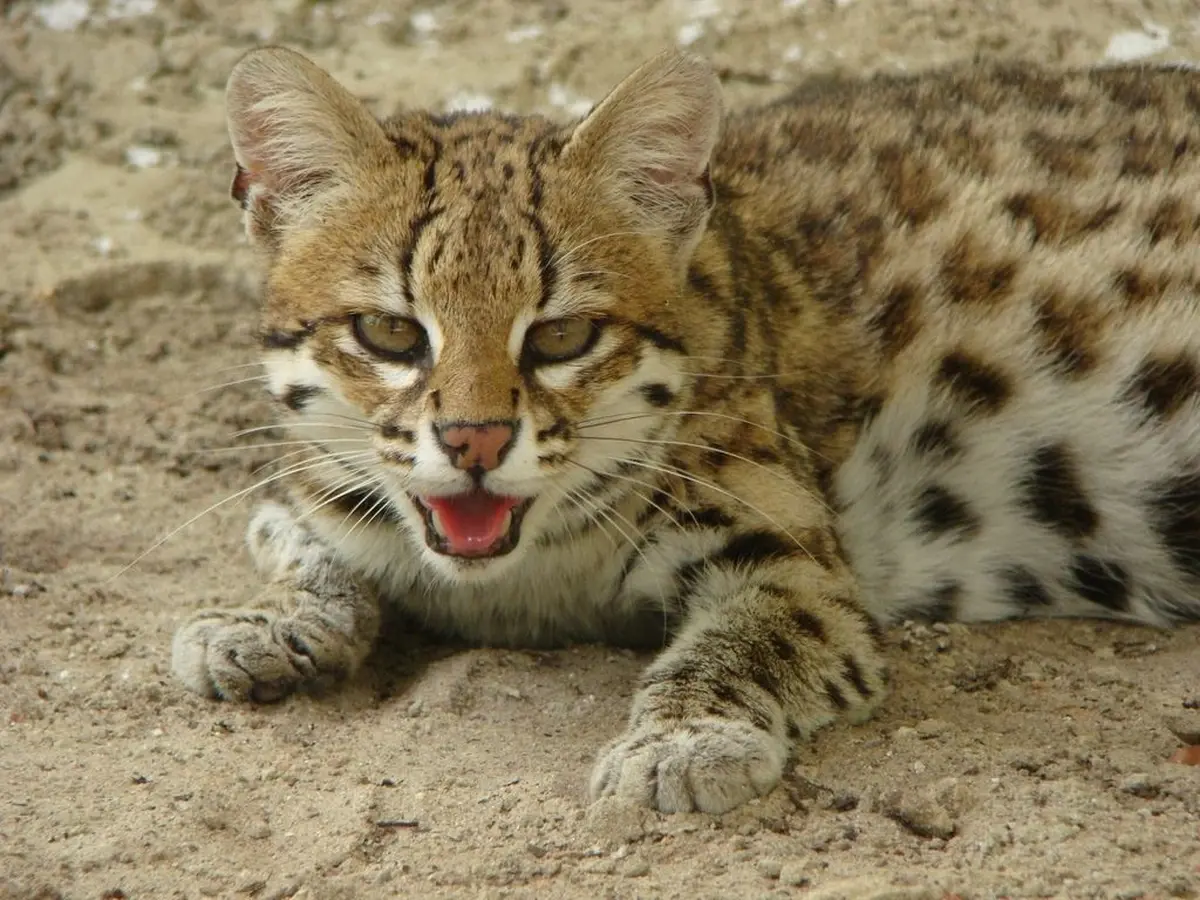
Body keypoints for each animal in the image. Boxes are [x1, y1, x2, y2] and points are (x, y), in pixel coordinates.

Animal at [171, 46, 1200, 815]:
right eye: (389, 333)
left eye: (562, 336)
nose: (474, 441)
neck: (519, 582)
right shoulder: (318, 491)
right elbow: (297, 532)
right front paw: (268, 618)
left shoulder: (799, 564)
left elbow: (741, 644)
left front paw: (683, 739)